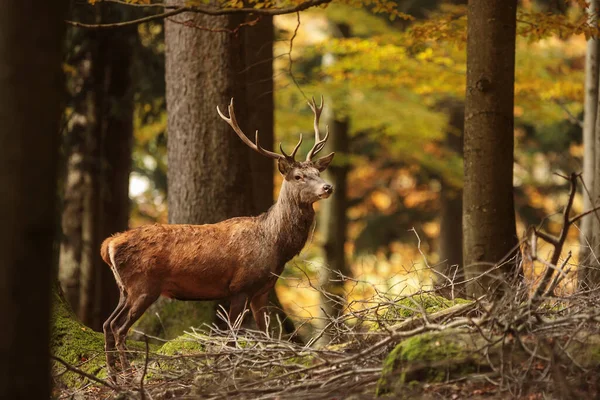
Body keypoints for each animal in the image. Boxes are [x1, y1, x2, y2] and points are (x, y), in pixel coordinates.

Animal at [101, 95, 336, 376]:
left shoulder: (262, 290)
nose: (328, 187)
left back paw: (113, 373)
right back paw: (126, 373)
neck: (275, 245)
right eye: (299, 176)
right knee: (119, 327)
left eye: (318, 173)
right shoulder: (240, 286)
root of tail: (109, 244)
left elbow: (267, 334)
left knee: (107, 323)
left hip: (125, 288)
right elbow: (232, 337)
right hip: (143, 285)